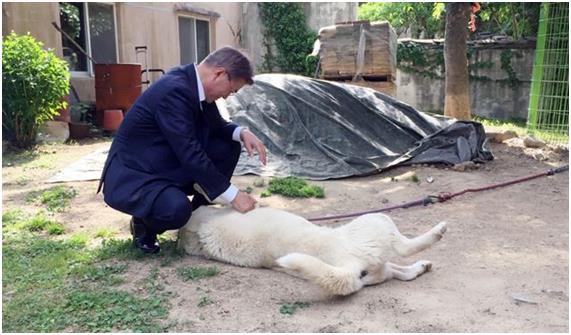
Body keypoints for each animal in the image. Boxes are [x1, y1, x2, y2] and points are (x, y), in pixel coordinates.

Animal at [178, 205, 446, 296]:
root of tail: (351, 268)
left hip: (380, 264)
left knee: (403, 272)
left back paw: (422, 266)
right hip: (377, 221)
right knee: (405, 248)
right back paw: (438, 231)